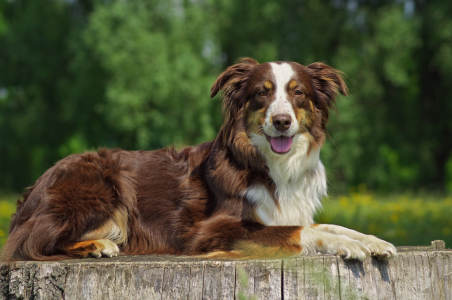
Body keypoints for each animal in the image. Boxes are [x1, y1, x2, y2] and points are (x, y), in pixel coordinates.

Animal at [0, 58, 396, 260]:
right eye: (262, 94)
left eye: (298, 93)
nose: (282, 121)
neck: (273, 167)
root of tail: (35, 188)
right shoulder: (211, 231)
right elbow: (298, 231)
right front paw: (351, 247)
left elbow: (326, 225)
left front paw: (371, 241)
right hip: (102, 188)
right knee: (31, 243)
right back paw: (98, 245)